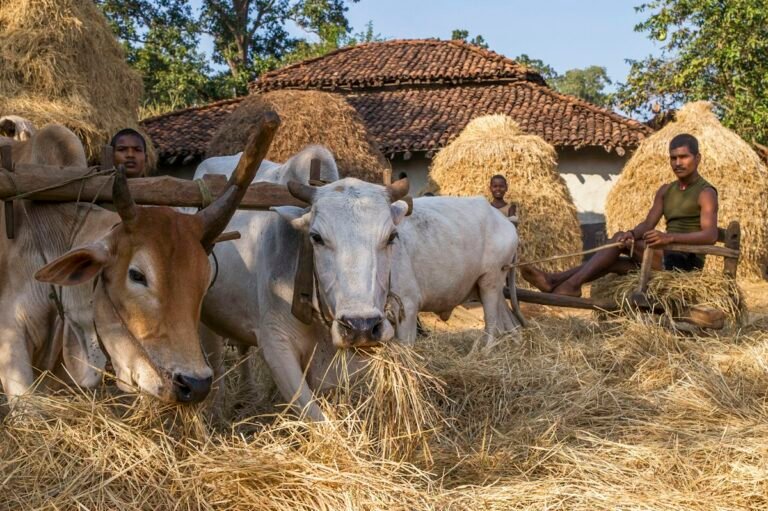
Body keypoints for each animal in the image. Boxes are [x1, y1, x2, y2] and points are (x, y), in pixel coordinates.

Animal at [195, 147, 522, 420]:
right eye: (316, 237)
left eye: (391, 236)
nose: (361, 325)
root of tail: (505, 221)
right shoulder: (276, 344)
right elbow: (317, 418)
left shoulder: (401, 316)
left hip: (491, 280)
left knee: (495, 324)